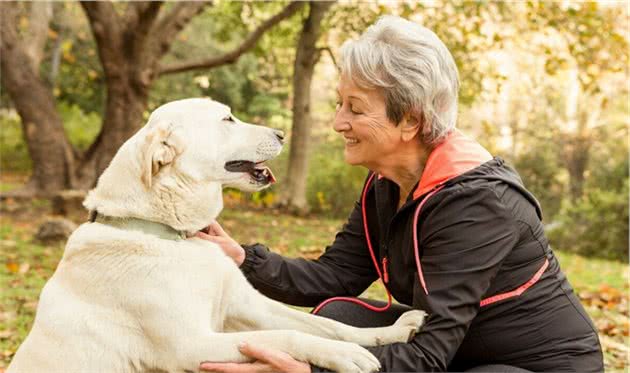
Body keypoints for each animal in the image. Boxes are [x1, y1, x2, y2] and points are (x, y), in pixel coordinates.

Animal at [7, 97, 428, 370]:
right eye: (227, 119)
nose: (281, 133)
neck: (171, 235)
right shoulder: (193, 345)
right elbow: (286, 338)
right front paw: (345, 356)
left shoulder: (248, 307)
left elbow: (332, 326)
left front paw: (391, 332)